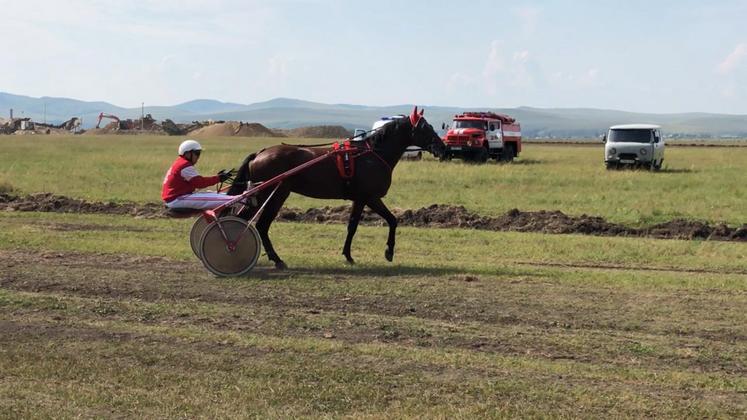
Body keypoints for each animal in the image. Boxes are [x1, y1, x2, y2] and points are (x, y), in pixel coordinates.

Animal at [228, 106, 448, 270]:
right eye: (425, 128)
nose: (443, 148)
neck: (372, 155)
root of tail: (259, 154)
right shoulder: (369, 197)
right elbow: (392, 220)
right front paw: (389, 251)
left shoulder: (359, 199)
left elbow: (352, 226)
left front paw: (348, 255)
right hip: (273, 193)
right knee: (259, 224)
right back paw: (273, 258)